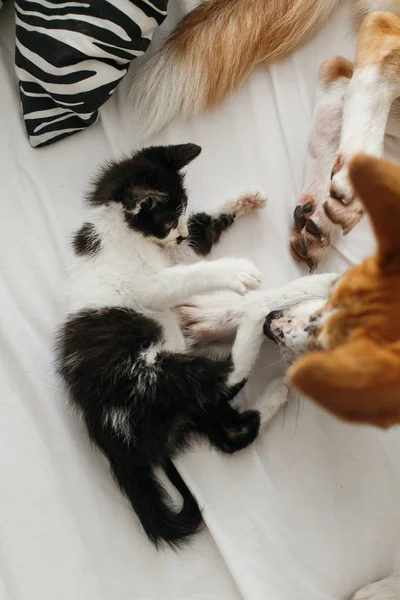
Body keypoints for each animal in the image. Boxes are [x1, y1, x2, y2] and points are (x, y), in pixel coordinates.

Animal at [57, 142, 276, 548]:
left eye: (183, 209)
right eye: (169, 217)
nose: (180, 232)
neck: (121, 228)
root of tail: (115, 441)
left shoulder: (177, 252)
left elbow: (197, 243)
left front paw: (243, 198)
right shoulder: (145, 282)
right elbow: (186, 275)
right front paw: (236, 271)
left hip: (177, 404)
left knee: (228, 427)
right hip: (145, 375)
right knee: (222, 376)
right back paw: (256, 317)